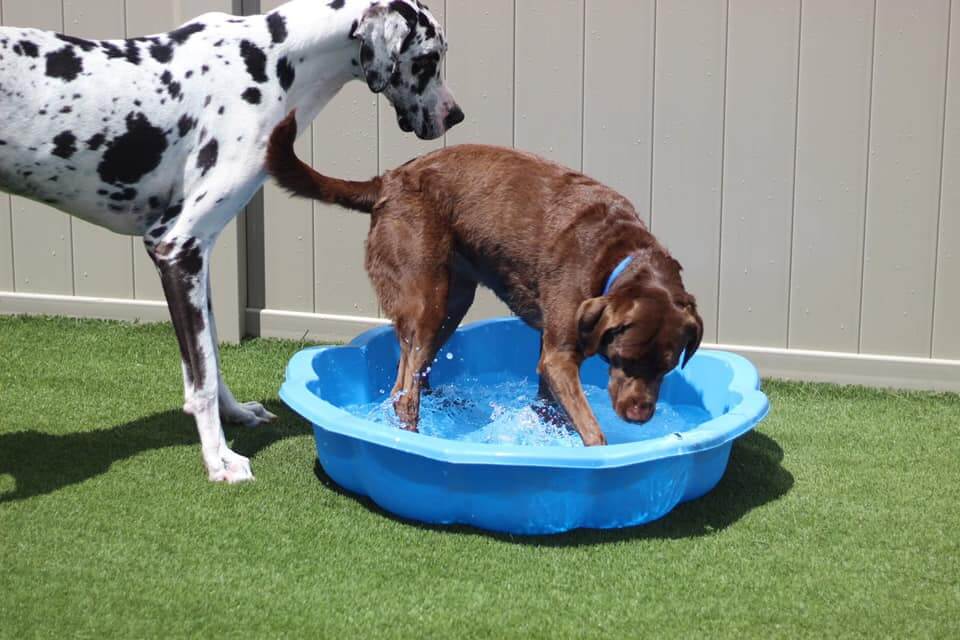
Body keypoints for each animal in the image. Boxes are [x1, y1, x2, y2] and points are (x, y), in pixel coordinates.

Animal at [266, 112, 700, 444]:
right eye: (624, 359)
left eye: (666, 367)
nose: (639, 417)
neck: (618, 258)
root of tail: (386, 181)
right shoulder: (560, 355)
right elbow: (592, 429)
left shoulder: (551, 354)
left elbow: (550, 404)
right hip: (426, 295)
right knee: (404, 390)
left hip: (453, 300)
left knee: (411, 374)